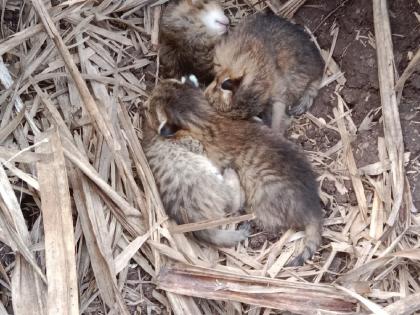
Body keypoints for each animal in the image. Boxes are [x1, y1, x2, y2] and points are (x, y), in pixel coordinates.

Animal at [143, 112, 248, 248]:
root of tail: (198, 224)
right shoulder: (191, 144)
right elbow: (197, 145)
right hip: (211, 178)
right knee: (232, 204)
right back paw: (232, 176)